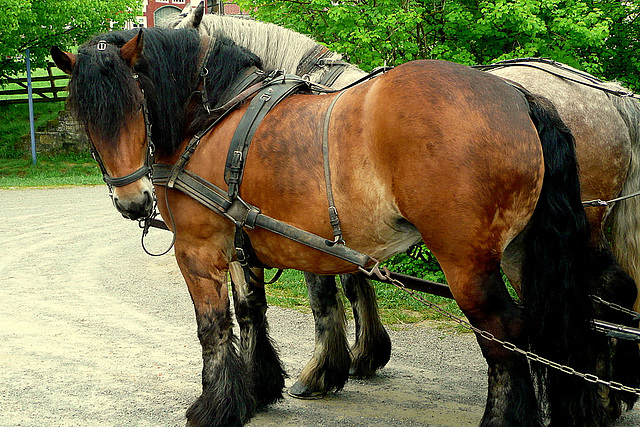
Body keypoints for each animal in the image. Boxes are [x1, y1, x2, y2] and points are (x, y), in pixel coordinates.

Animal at [52, 28, 612, 426]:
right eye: (86, 118)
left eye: (137, 104)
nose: (133, 201)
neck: (212, 117)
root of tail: (517, 96)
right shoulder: (239, 242)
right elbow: (250, 311)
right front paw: (258, 389)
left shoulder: (199, 248)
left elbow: (213, 327)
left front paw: (214, 407)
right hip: (521, 254)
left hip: (467, 264)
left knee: (506, 338)